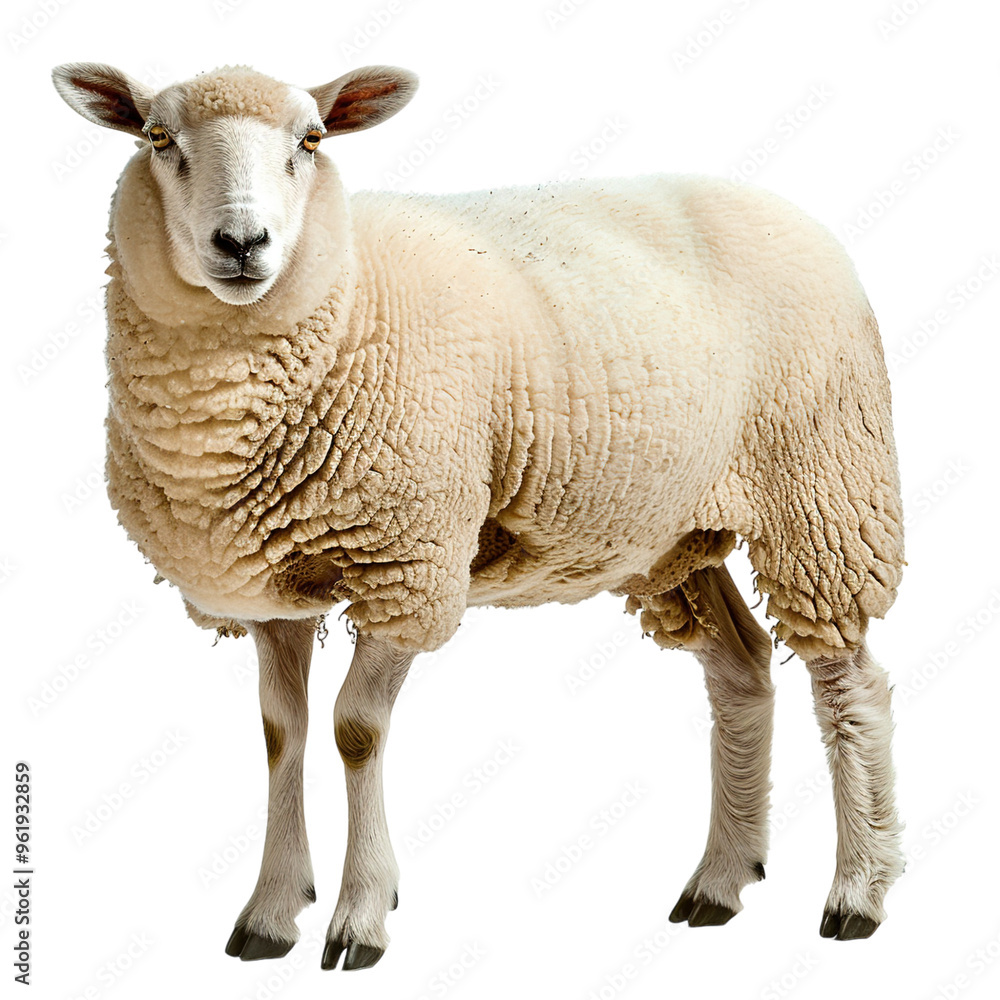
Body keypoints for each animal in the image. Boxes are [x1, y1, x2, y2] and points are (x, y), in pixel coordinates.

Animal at [51, 61, 906, 967]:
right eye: (157, 138)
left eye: (311, 140)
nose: (242, 244)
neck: (348, 301)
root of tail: (789, 208)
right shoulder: (270, 590)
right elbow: (282, 732)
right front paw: (271, 912)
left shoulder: (410, 566)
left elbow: (355, 730)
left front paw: (361, 914)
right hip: (668, 535)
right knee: (741, 671)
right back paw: (718, 882)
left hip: (823, 493)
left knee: (849, 684)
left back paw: (858, 893)